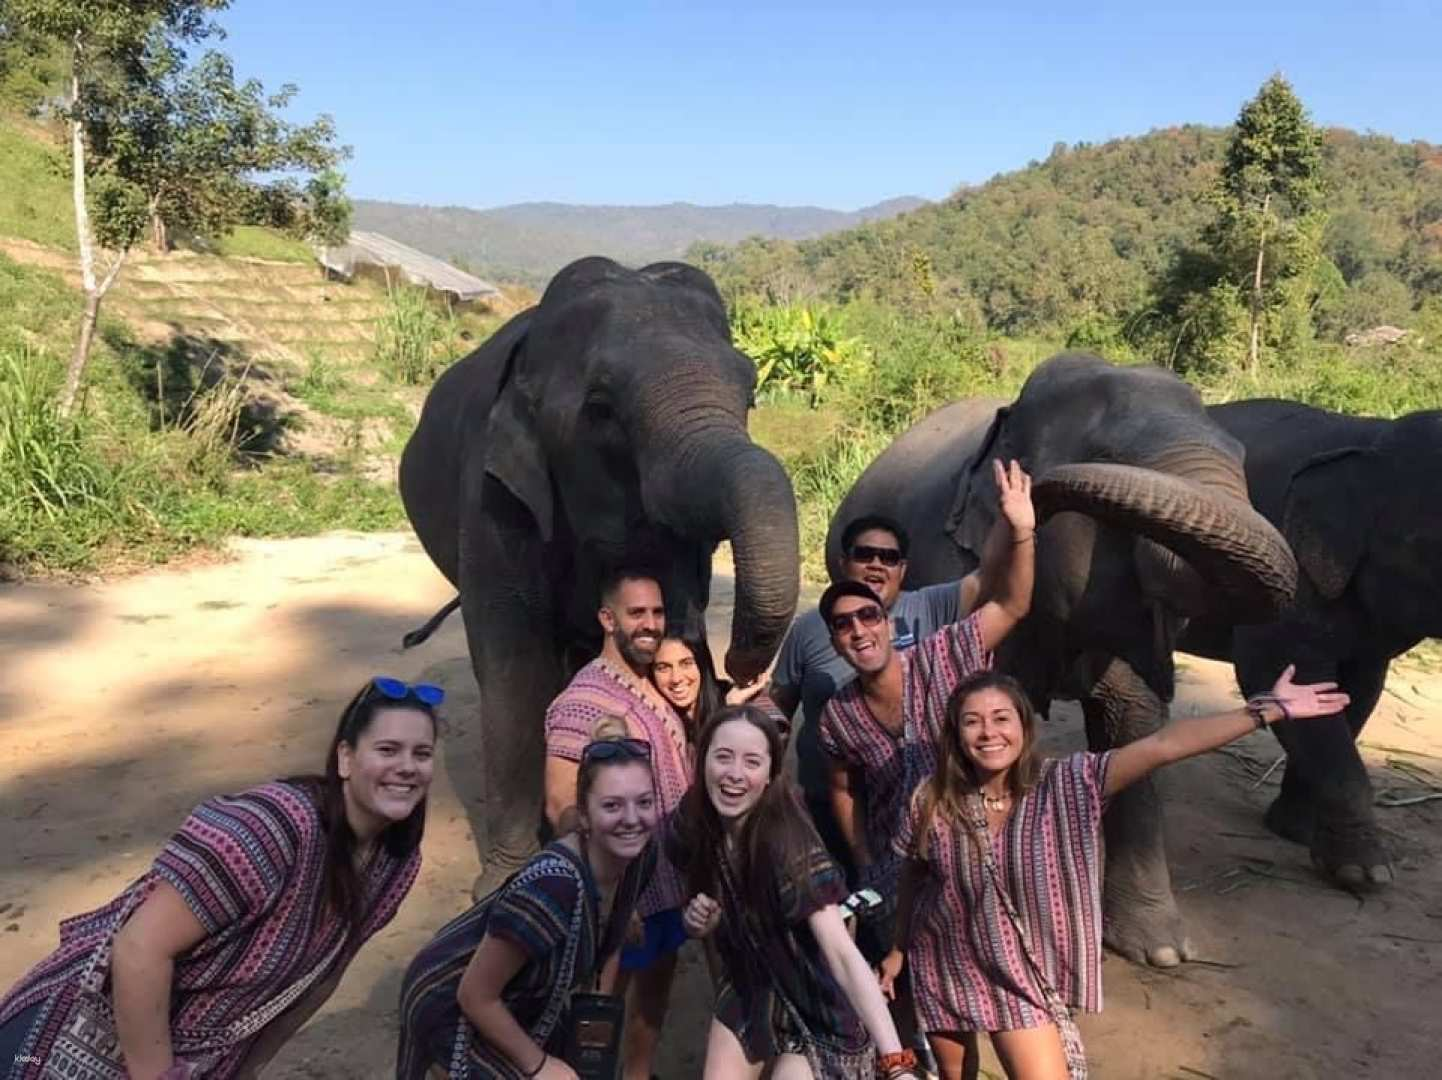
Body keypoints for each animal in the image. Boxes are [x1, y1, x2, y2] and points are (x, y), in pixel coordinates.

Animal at [403, 256, 801, 888]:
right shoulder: (494, 498)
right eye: (601, 408)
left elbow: (675, 610)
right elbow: (514, 660)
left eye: (750, 391)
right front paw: (506, 877)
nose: (740, 671)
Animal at [1182, 400, 1442, 888]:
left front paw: (1296, 832)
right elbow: (1275, 668)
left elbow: (1355, 692)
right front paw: (1364, 874)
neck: (1373, 438)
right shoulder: (1286, 563)